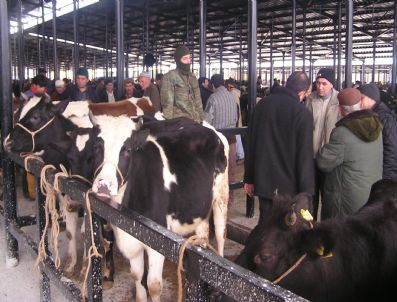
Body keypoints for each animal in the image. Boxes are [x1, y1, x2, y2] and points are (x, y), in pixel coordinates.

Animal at [88, 114, 227, 302]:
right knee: (203, 233)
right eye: (97, 147)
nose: (104, 185)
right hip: (199, 208)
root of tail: (205, 126)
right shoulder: (131, 238)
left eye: (127, 150)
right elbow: (137, 276)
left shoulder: (158, 241)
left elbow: (153, 286)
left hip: (221, 196)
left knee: (220, 234)